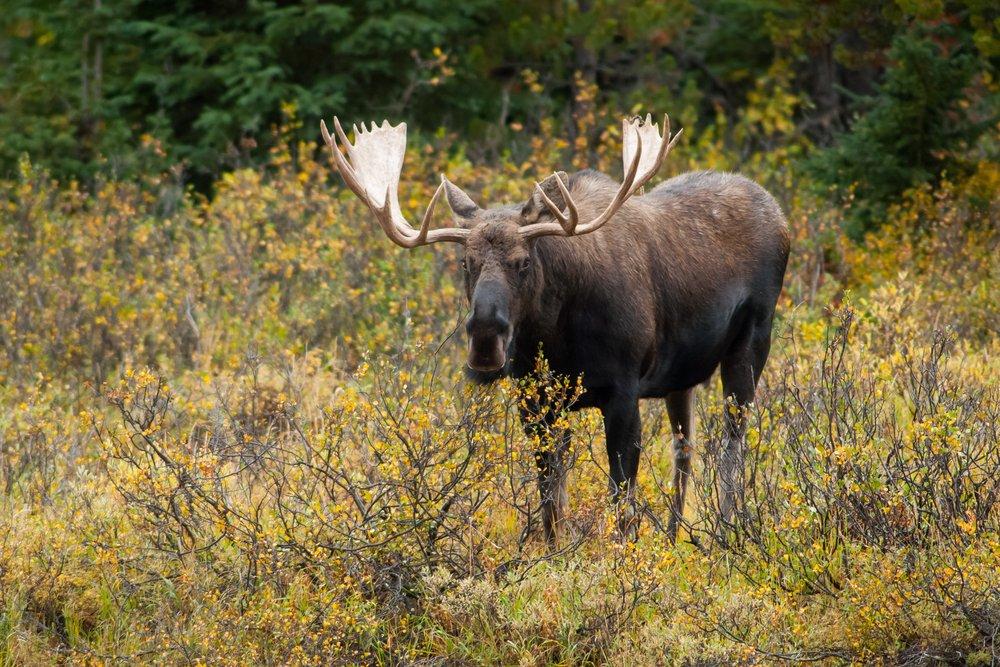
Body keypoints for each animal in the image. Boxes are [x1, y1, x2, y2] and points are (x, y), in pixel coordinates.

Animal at [320, 113, 788, 544]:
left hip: (751, 344)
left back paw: (727, 532)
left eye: (524, 262)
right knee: (684, 448)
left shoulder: (623, 391)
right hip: (682, 376)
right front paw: (554, 553)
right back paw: (675, 537)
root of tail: (778, 211)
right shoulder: (535, 401)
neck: (557, 335)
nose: (485, 339)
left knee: (730, 445)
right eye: (465, 263)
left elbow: (621, 504)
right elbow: (550, 499)